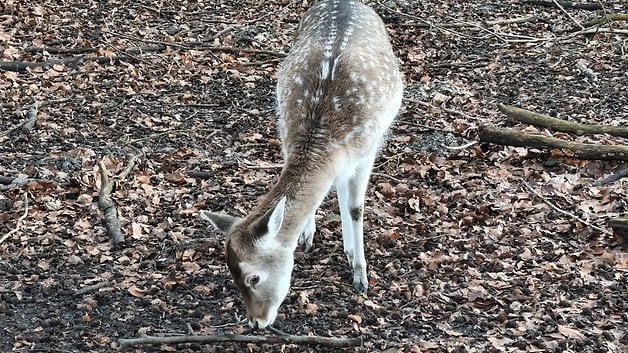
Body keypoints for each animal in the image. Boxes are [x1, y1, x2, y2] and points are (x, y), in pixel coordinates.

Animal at [200, 0, 402, 328]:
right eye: (232, 276)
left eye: (254, 277)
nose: (256, 322)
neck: (324, 137)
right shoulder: (285, 130)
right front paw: (309, 236)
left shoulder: (368, 149)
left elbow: (356, 208)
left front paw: (360, 277)